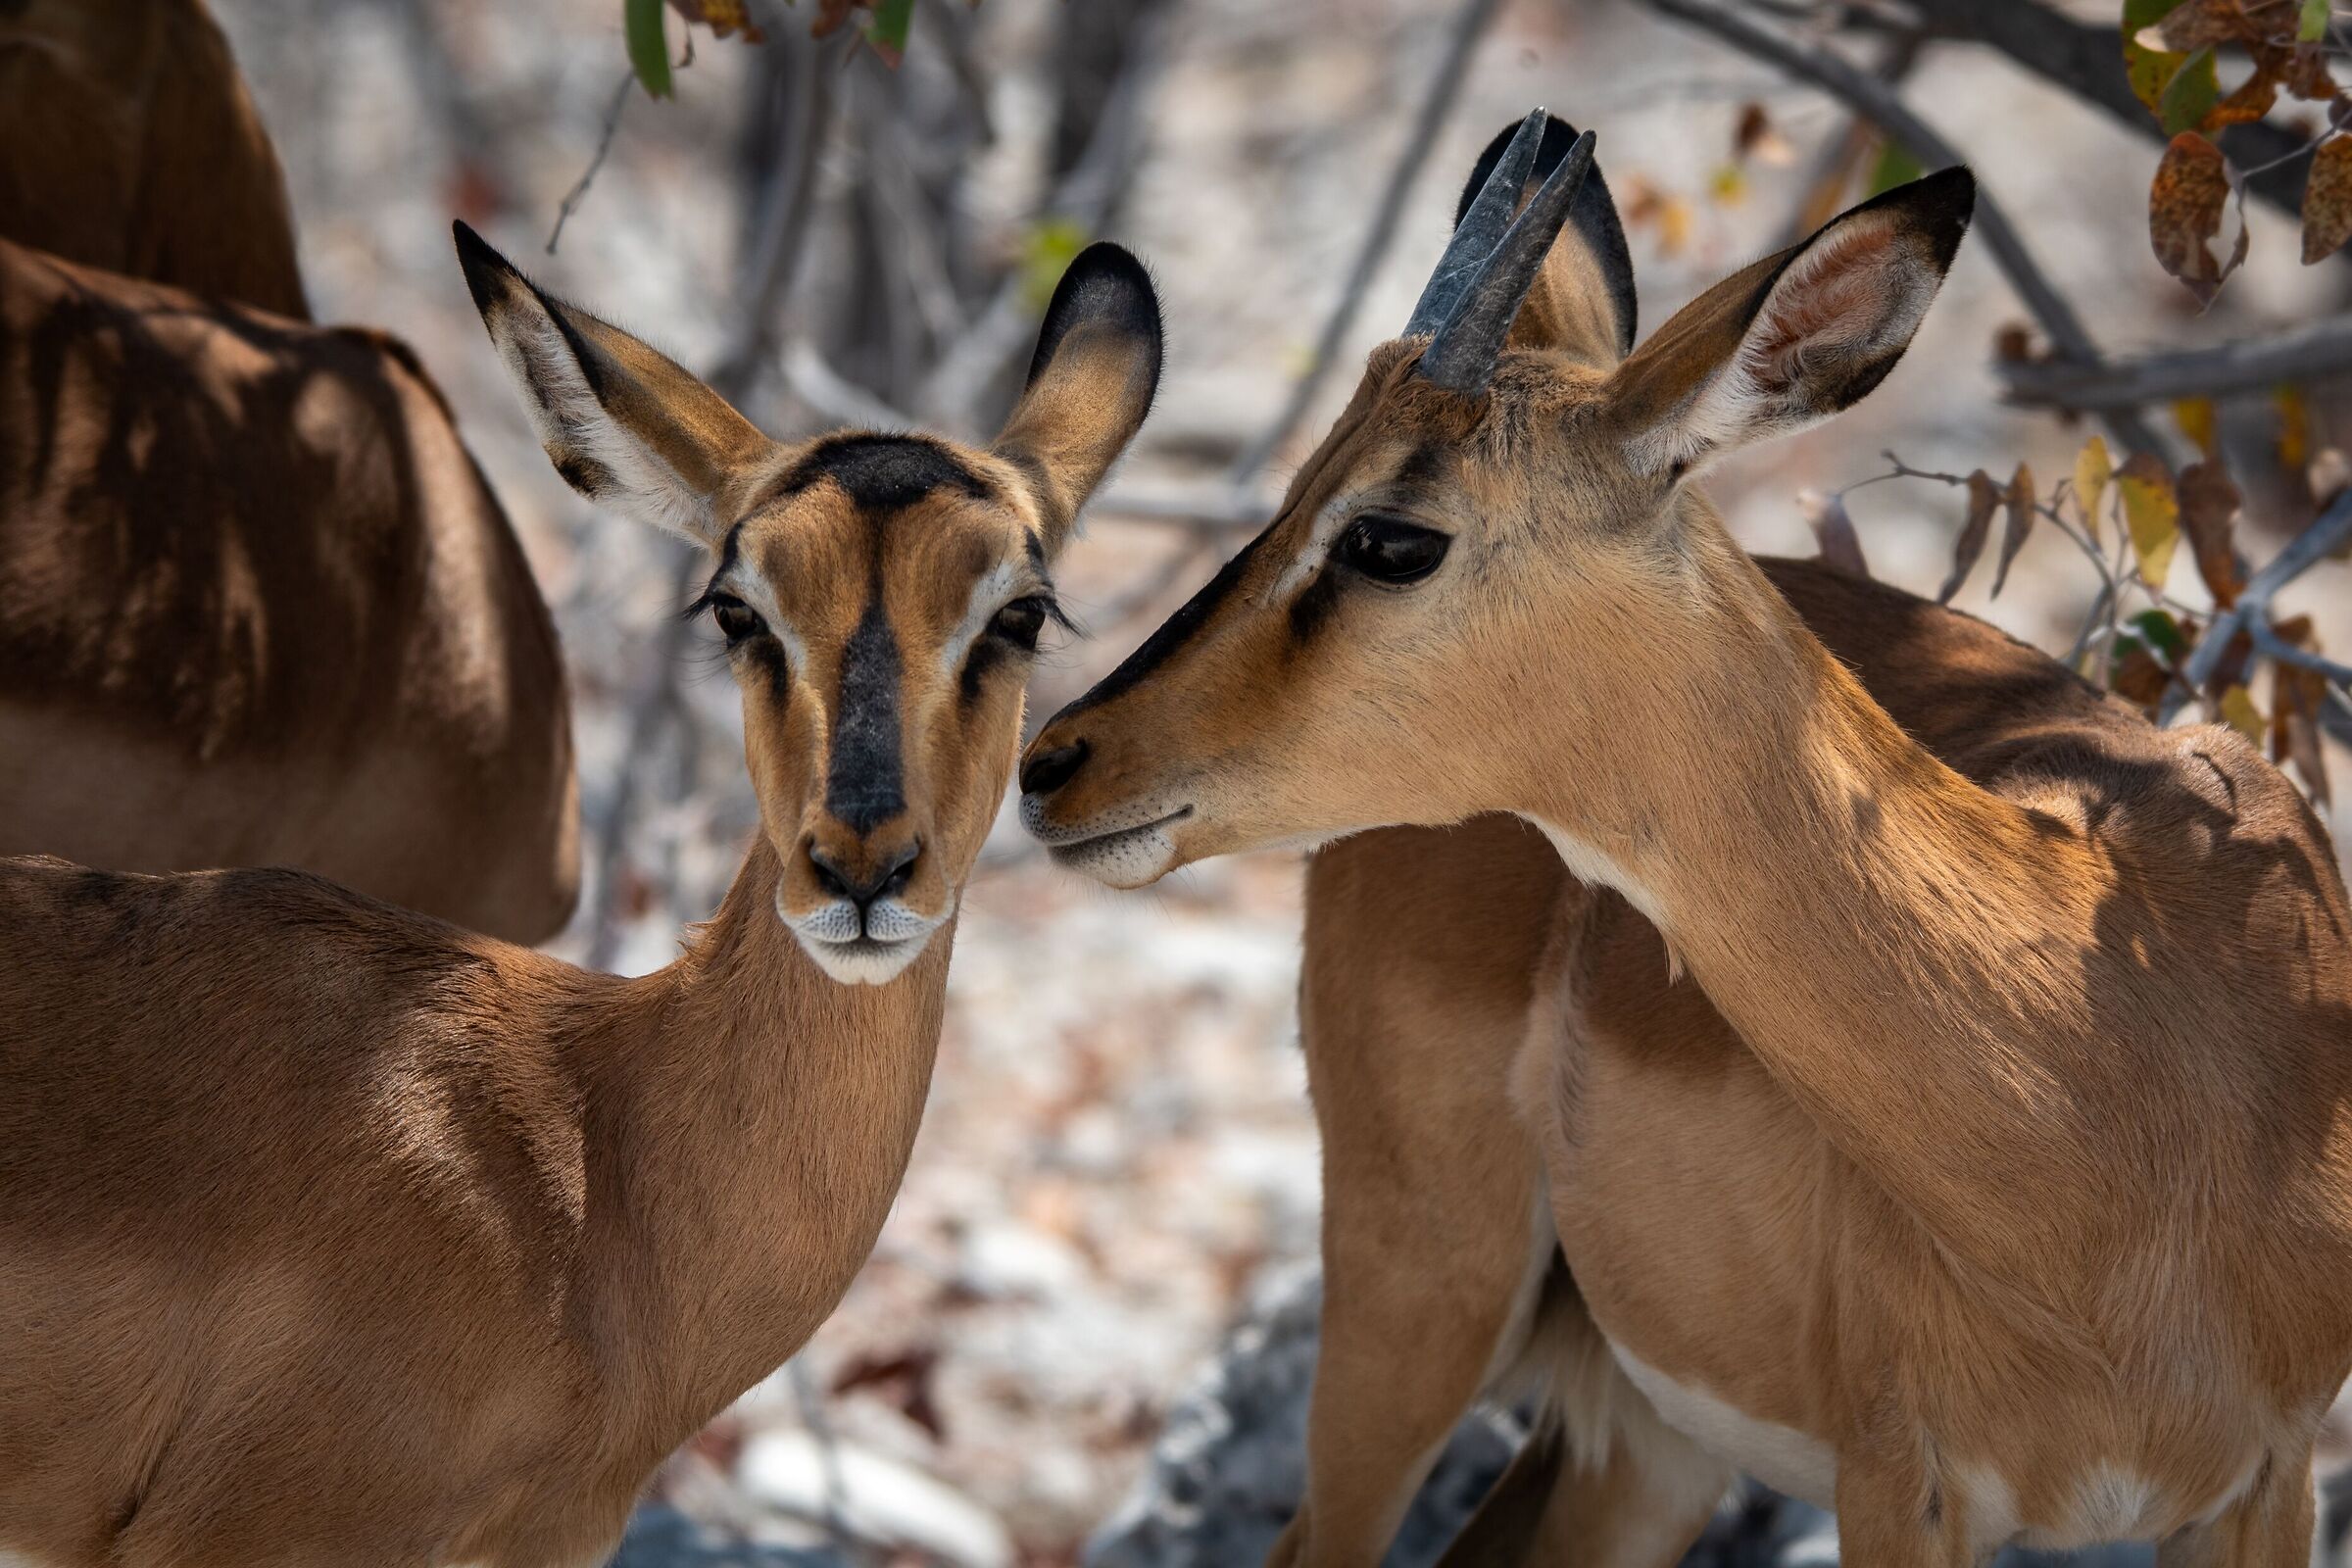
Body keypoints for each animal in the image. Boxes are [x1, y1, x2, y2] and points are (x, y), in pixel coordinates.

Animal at [1022, 111, 2352, 1565]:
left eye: (1391, 536)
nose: (1055, 762)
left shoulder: (2264, 1481)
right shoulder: (1900, 1483)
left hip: (1636, 1440)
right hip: (1415, 1309)